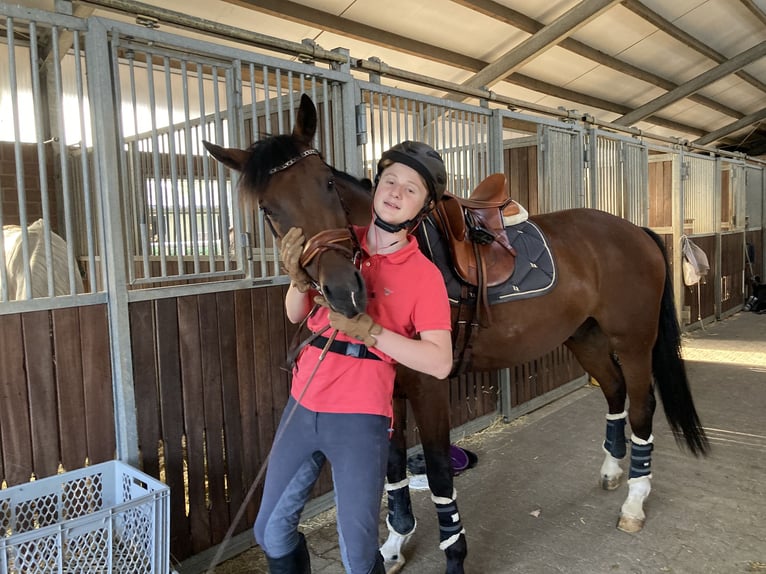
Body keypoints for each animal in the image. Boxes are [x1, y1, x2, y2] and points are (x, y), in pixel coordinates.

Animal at [204, 94, 708, 574]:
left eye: (326, 183)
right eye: (268, 209)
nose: (345, 291)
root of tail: (634, 230)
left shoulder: (428, 387)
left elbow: (440, 472)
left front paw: (453, 555)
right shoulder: (392, 391)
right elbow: (393, 471)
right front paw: (393, 546)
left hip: (634, 341)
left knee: (641, 405)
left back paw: (634, 502)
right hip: (585, 338)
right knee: (614, 390)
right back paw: (611, 471)